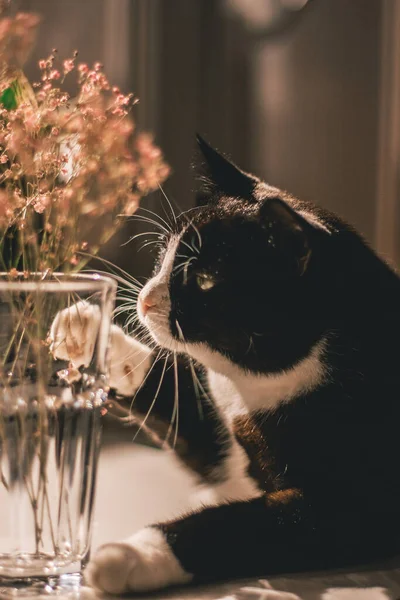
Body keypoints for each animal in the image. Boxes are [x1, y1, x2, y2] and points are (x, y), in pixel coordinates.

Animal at [51, 137, 400, 596]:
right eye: (163, 255)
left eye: (204, 280)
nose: (144, 299)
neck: (251, 393)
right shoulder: (222, 442)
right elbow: (168, 392)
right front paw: (85, 330)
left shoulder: (352, 506)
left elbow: (243, 523)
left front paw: (132, 554)